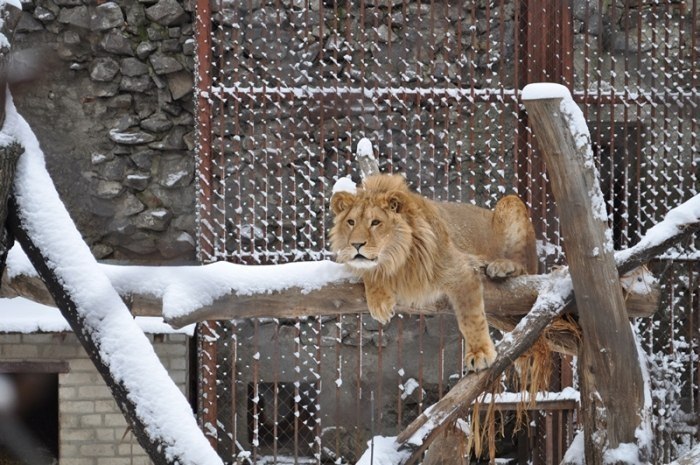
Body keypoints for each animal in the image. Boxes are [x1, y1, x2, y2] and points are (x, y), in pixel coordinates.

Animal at [328, 172, 536, 372]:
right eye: (351, 222)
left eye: (375, 222)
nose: (355, 244)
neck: (399, 257)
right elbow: (369, 270)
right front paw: (380, 303)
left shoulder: (461, 269)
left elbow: (471, 319)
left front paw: (479, 354)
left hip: (510, 203)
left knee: (525, 268)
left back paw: (501, 267)